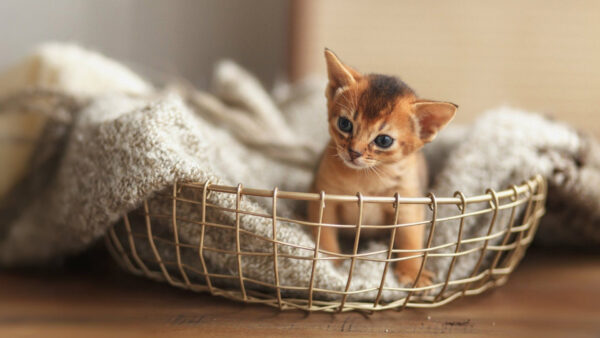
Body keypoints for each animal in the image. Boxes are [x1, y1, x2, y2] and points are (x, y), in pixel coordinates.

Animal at [308, 48, 458, 286]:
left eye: (384, 140)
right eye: (345, 124)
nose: (354, 152)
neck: (366, 179)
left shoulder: (408, 204)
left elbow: (411, 239)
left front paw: (412, 273)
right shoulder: (324, 198)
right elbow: (325, 235)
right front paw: (330, 265)